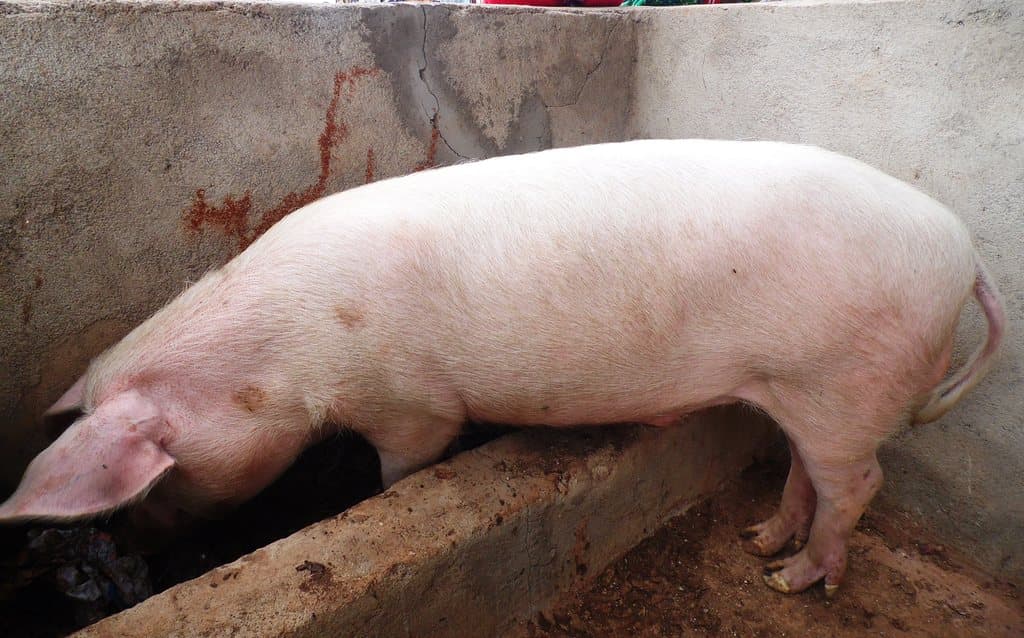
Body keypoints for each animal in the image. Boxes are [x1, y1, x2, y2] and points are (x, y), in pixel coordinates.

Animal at [0, 139, 1005, 595]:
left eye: (158, 480)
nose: (143, 549)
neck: (284, 352)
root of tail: (965, 250)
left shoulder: (409, 403)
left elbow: (405, 464)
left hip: (848, 379)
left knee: (860, 483)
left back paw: (794, 584)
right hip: (809, 390)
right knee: (809, 468)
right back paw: (763, 543)